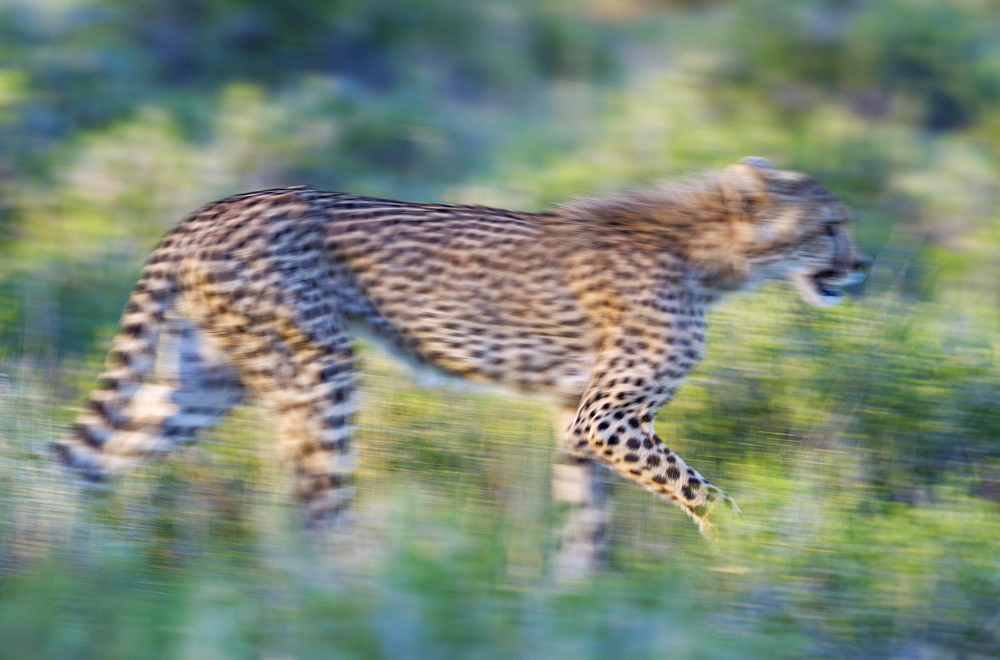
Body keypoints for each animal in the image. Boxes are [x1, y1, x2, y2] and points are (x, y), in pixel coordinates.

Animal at [54, 160, 868, 552]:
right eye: (830, 226)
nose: (862, 266)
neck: (706, 251)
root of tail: (208, 208)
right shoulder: (606, 418)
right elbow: (704, 494)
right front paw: (751, 550)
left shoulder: (576, 419)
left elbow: (585, 524)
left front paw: (578, 601)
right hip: (318, 369)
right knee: (317, 505)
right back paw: (343, 594)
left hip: (207, 382)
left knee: (86, 464)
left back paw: (66, 570)